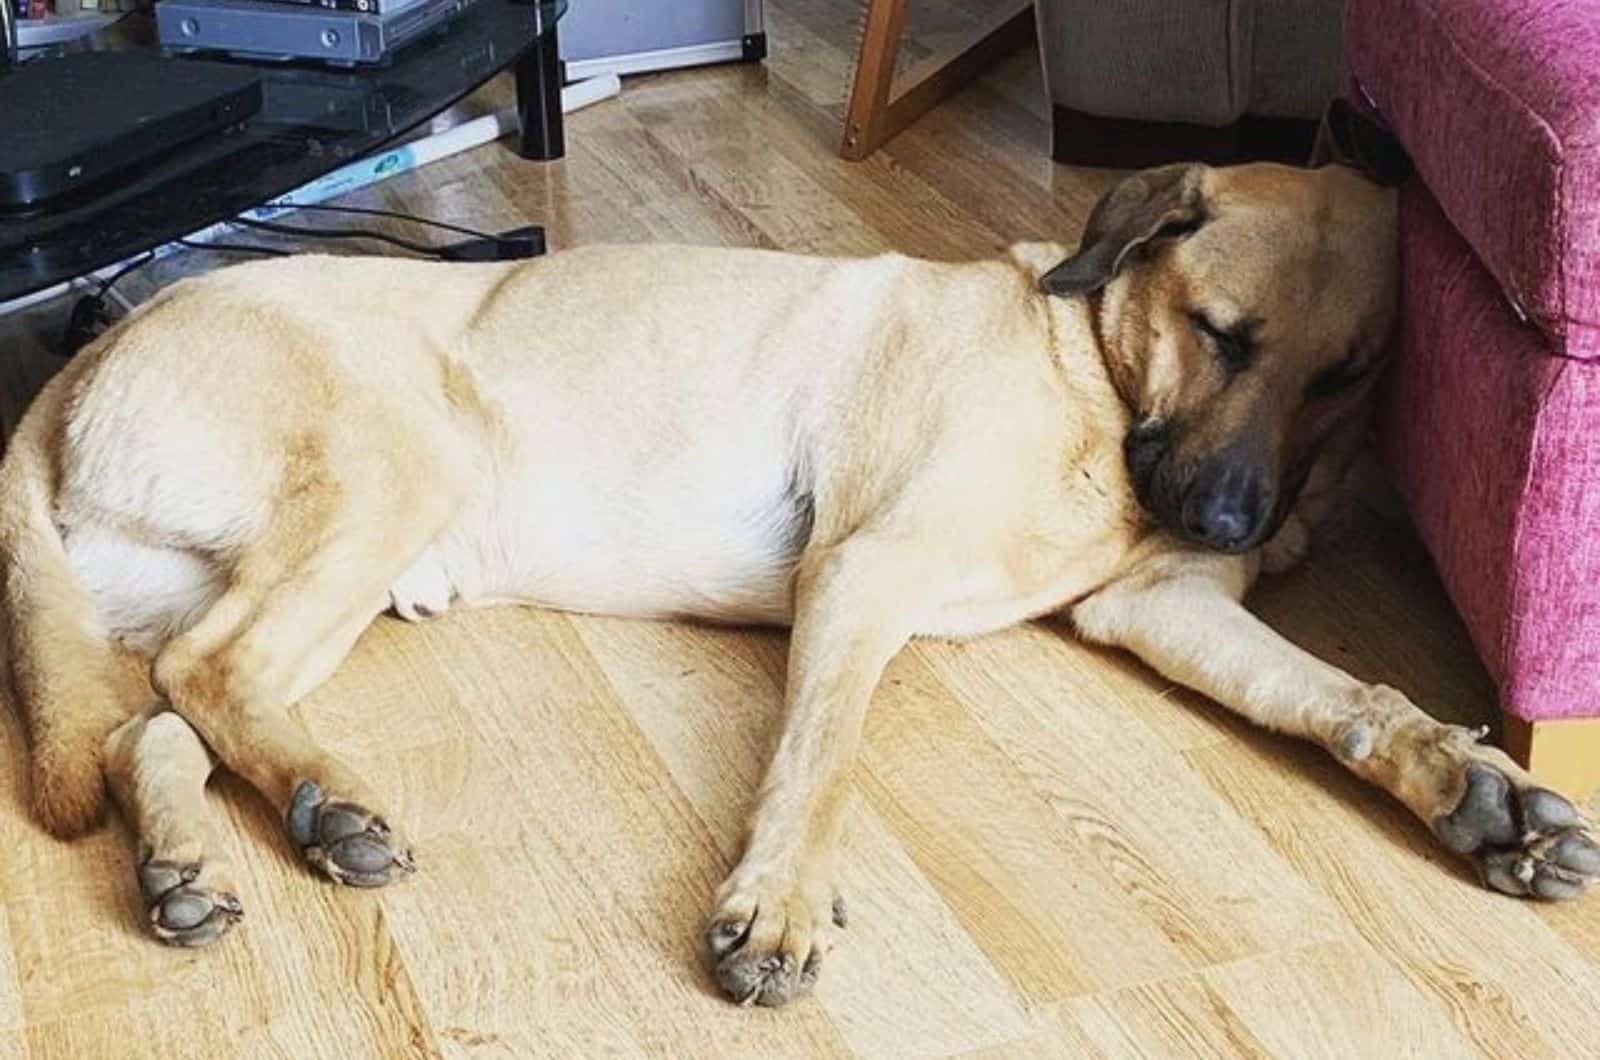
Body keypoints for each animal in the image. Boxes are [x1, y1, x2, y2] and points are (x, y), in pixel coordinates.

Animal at [0, 161, 1593, 1011]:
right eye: (1220, 333)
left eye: (1347, 375)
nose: (1227, 516)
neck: (1092, 373)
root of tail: (91, 348)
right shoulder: (865, 573)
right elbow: (821, 763)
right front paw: (776, 905)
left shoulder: (1166, 604)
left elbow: (1340, 692)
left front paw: (1476, 787)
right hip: (398, 477)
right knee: (204, 677)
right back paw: (324, 801)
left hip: (292, 572)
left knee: (154, 711)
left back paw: (195, 856)